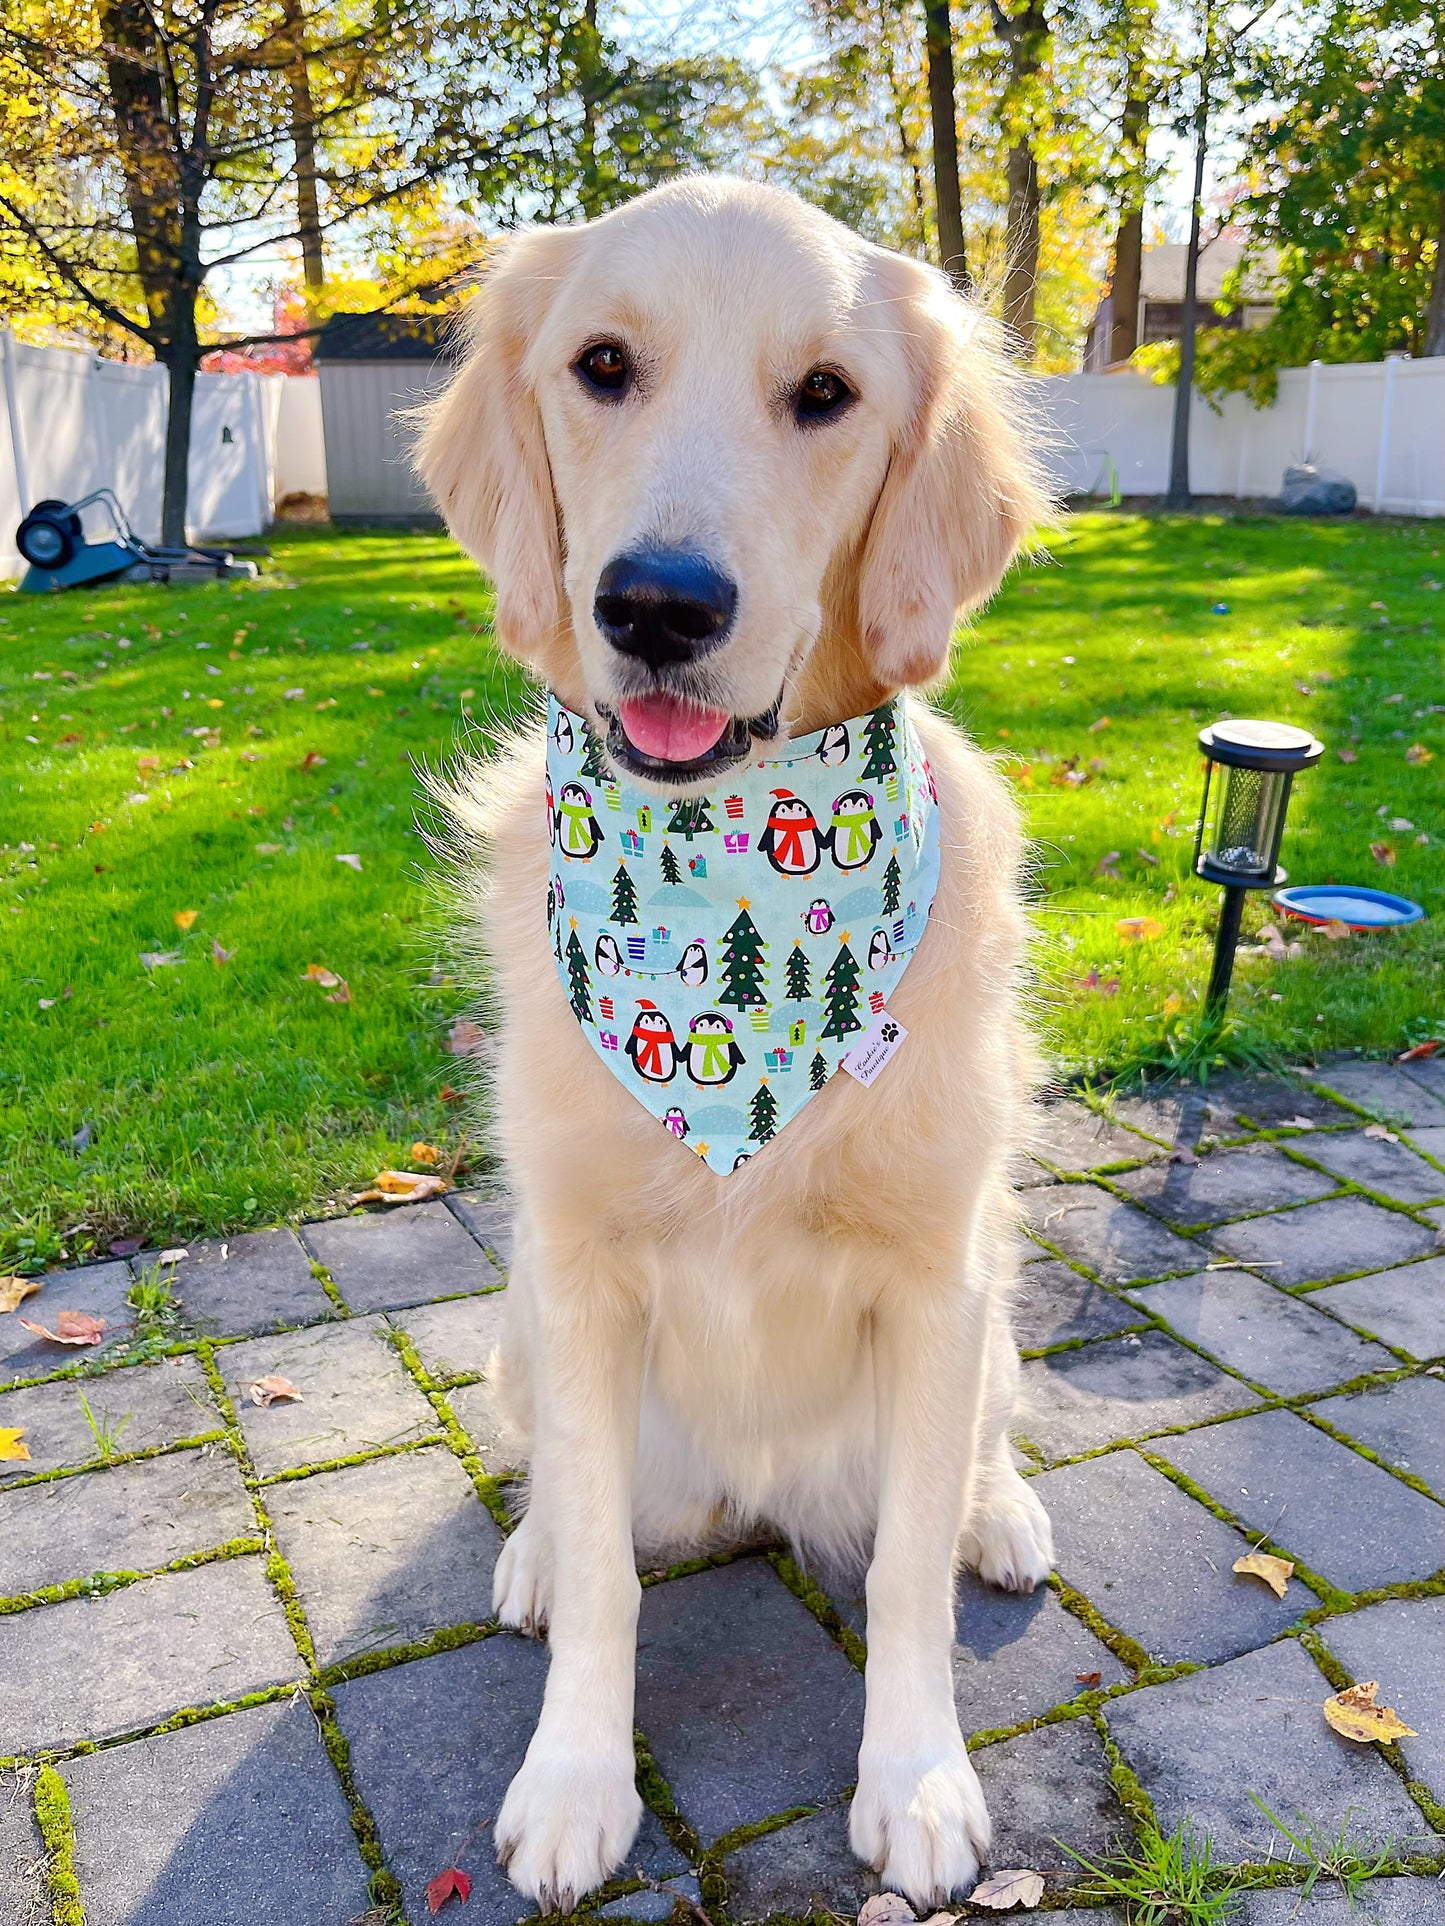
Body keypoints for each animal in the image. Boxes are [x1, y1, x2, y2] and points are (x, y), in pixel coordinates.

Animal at [416, 177, 1055, 1910]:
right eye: (601, 365)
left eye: (824, 395)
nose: (655, 603)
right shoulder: (576, 1272)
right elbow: (606, 1576)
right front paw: (576, 1777)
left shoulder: (937, 1276)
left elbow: (904, 1573)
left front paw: (917, 1778)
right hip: (517, 1322)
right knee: (561, 1488)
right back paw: (531, 1551)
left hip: (998, 1311)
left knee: (971, 1465)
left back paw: (1002, 1513)